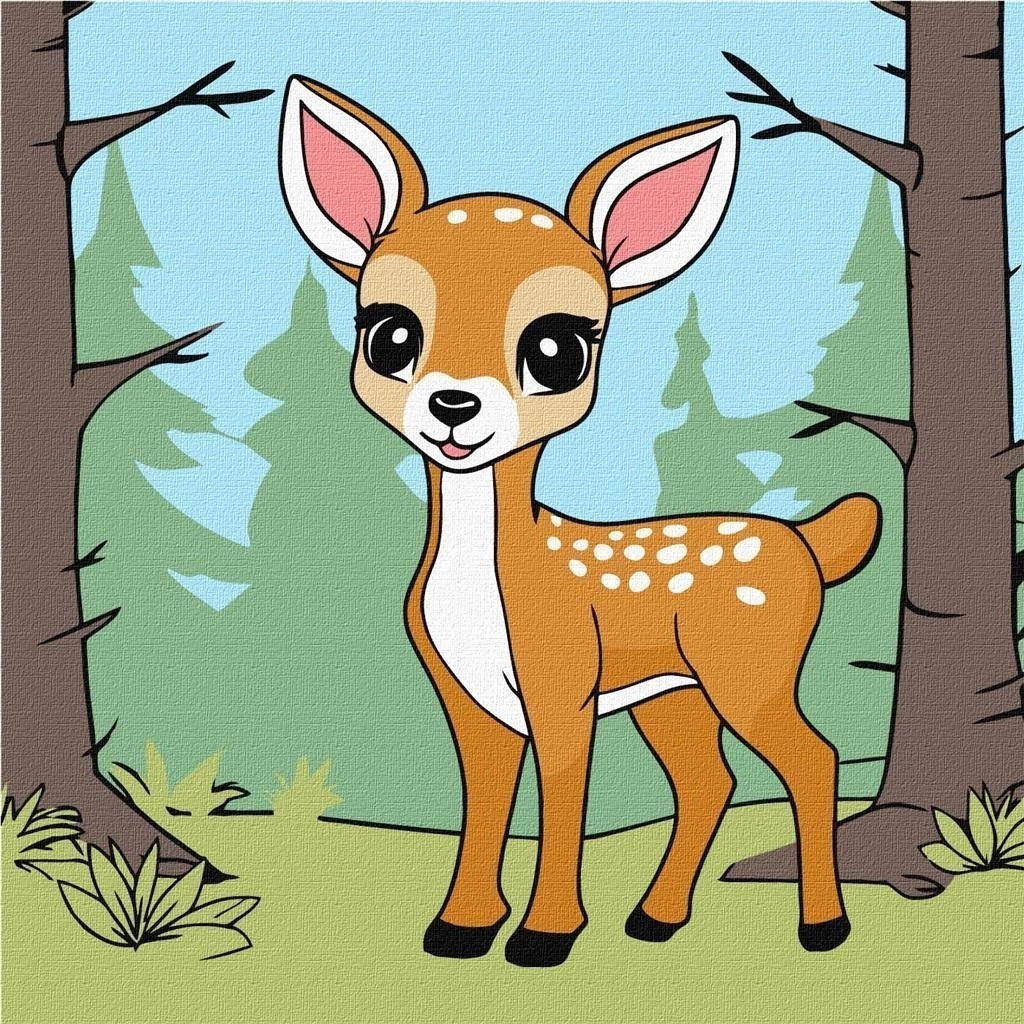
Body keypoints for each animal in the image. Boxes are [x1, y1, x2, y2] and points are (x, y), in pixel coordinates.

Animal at [279, 76, 881, 968]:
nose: (453, 405)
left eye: (558, 348)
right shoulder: (467, 697)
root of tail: (806, 541)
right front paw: (460, 928)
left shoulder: (562, 679)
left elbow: (563, 798)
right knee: (711, 780)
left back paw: (823, 926)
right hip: (673, 692)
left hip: (751, 668)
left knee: (813, 759)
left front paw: (543, 936)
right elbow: (484, 806)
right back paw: (655, 919)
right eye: (388, 333)